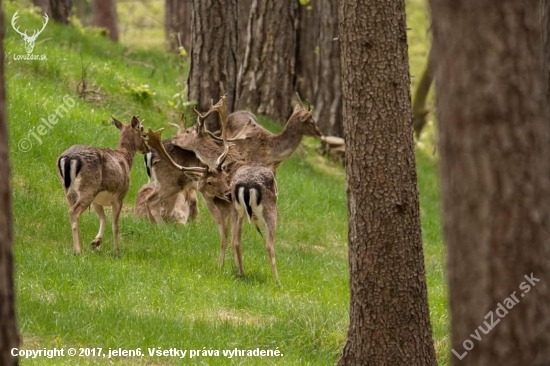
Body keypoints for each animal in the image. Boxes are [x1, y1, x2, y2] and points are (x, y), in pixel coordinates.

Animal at [56, 116, 149, 253]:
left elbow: (103, 217)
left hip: (68, 190)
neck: (125, 159)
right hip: (89, 188)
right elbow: (115, 225)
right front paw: (116, 250)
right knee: (73, 212)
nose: (147, 149)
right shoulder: (119, 196)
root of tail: (67, 159)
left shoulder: (97, 200)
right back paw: (77, 250)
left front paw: (96, 242)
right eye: (144, 134)